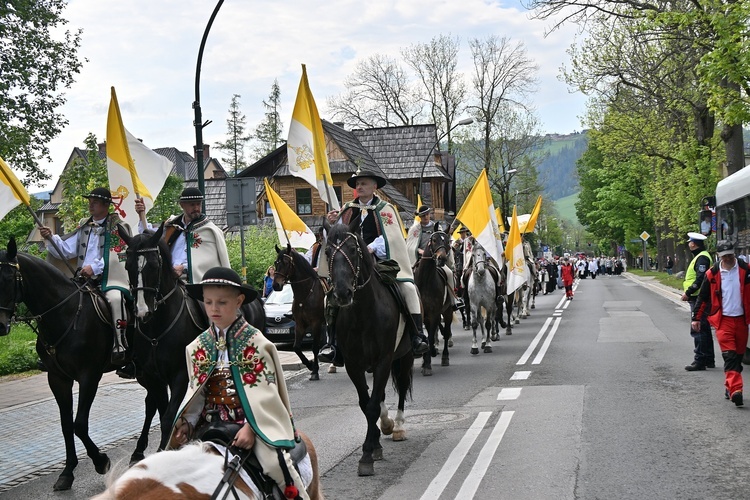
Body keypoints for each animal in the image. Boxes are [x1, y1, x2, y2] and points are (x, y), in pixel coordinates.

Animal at [0, 237, 114, 488]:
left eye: (8, 278)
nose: (0, 326)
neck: (65, 313)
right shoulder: (57, 378)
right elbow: (65, 425)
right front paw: (67, 472)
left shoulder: (89, 376)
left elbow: (79, 424)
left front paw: (101, 461)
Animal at [274, 244, 326, 380]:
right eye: (276, 263)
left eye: (286, 263)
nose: (276, 285)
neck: (305, 293)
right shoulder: (300, 324)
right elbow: (296, 347)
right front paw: (310, 365)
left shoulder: (316, 323)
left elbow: (315, 347)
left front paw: (315, 371)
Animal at [326, 224, 414, 476]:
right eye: (327, 252)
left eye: (353, 250)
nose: (342, 294)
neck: (362, 314)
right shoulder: (354, 365)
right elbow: (367, 404)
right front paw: (373, 444)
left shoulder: (384, 360)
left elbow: (373, 405)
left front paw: (366, 455)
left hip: (405, 356)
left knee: (402, 386)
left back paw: (398, 426)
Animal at [414, 230, 456, 376]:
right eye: (434, 240)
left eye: (447, 241)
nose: (441, 258)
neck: (426, 281)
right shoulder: (422, 314)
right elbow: (426, 336)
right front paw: (425, 358)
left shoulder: (434, 314)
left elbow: (431, 337)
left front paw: (427, 364)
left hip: (448, 312)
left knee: (447, 331)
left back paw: (444, 356)